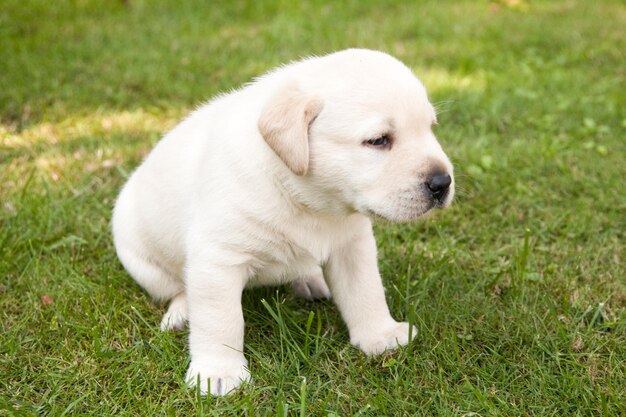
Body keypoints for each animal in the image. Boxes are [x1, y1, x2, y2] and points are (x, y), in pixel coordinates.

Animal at [112, 48, 450, 394]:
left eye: (431, 127)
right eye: (378, 140)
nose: (443, 182)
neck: (304, 197)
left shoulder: (353, 246)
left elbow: (365, 290)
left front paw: (380, 335)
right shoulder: (217, 260)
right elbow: (220, 321)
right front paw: (218, 373)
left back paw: (310, 279)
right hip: (140, 260)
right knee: (176, 289)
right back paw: (181, 312)